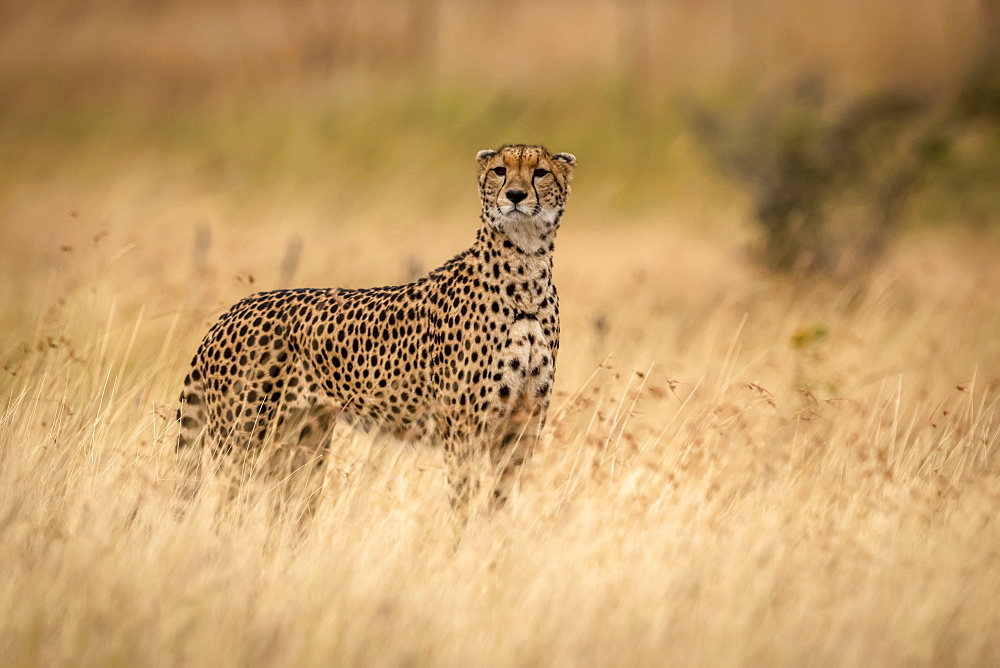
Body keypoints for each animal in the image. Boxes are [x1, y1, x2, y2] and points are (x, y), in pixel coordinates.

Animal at [176, 145, 576, 512]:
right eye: (499, 171)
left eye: (540, 172)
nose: (515, 195)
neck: (525, 270)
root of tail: (230, 312)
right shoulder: (464, 426)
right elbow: (464, 501)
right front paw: (462, 542)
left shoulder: (522, 424)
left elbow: (500, 500)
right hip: (242, 440)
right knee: (224, 511)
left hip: (302, 441)